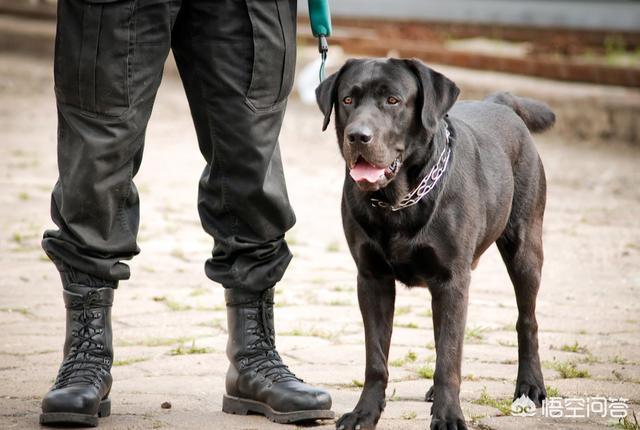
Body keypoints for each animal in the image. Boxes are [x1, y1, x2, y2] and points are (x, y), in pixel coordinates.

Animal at [316, 58, 556, 430]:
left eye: (393, 100)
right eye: (347, 100)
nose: (357, 135)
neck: (398, 201)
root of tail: (499, 102)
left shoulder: (452, 279)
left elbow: (450, 356)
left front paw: (449, 416)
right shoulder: (371, 279)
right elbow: (377, 357)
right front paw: (364, 413)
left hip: (525, 247)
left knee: (526, 320)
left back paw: (530, 386)